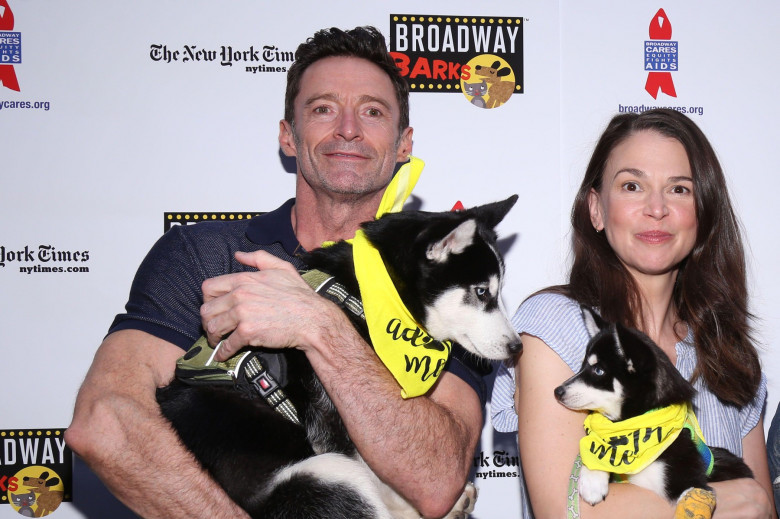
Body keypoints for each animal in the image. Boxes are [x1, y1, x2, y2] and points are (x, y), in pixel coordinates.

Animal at [155, 196, 520, 519]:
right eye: (482, 292)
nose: (517, 348)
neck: (367, 295)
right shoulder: (328, 414)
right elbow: (367, 464)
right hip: (324, 475)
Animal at [552, 306, 752, 510]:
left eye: (598, 370)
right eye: (583, 365)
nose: (557, 391)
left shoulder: (689, 485)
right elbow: (598, 451)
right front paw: (593, 479)